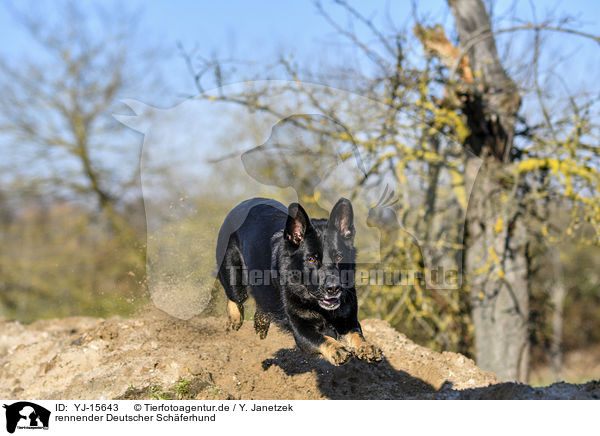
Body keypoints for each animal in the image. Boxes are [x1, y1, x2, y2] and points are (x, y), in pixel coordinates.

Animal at [217, 198, 380, 364]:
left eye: (339, 257)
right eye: (312, 259)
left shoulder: (347, 321)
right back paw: (235, 319)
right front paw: (337, 349)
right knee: (236, 297)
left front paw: (366, 347)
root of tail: (245, 203)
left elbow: (356, 335)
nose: (334, 288)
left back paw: (261, 323)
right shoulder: (302, 330)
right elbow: (323, 339)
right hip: (233, 273)